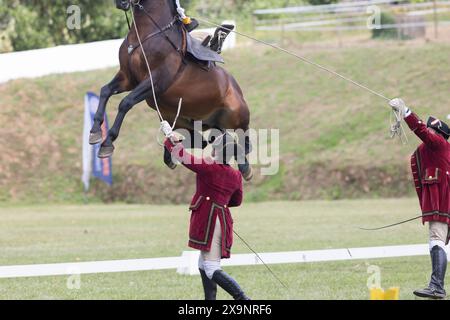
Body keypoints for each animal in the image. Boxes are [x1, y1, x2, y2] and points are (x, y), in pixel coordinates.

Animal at [90, 0, 253, 180]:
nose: (120, 3)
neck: (148, 34)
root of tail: (232, 83)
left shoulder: (156, 81)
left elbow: (126, 102)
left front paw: (107, 142)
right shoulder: (127, 78)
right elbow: (105, 91)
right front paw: (95, 131)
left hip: (237, 113)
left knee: (245, 140)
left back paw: (244, 165)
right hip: (189, 121)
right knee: (206, 140)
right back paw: (172, 153)